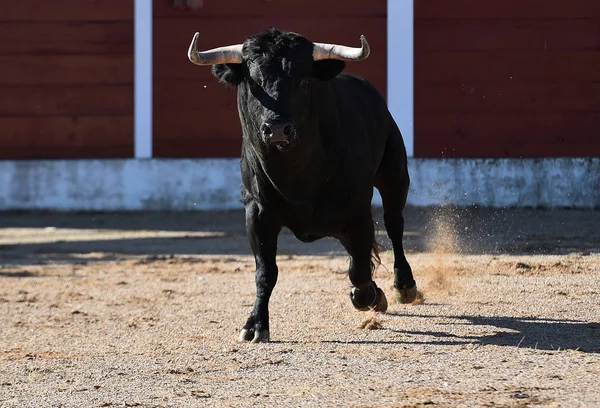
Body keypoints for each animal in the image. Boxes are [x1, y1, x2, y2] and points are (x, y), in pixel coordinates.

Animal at [188, 27, 418, 342]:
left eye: (304, 81)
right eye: (252, 83)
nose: (277, 130)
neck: (296, 173)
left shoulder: (357, 210)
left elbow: (359, 269)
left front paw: (368, 295)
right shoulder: (257, 212)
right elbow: (265, 272)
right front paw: (255, 325)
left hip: (394, 175)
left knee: (394, 224)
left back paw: (403, 285)